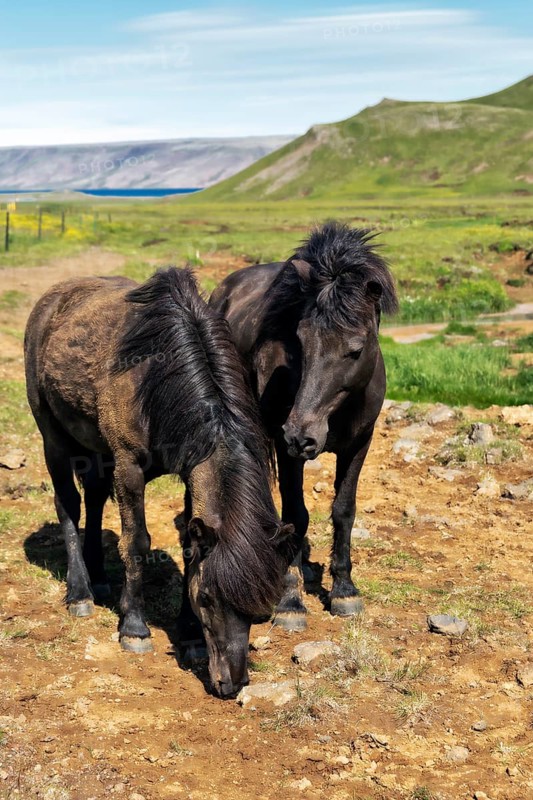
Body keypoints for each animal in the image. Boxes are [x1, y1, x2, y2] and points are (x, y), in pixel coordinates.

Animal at [24, 267, 295, 698]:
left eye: (261, 608)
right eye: (207, 598)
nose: (231, 683)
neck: (158, 377)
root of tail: (53, 298)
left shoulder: (188, 473)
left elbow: (188, 543)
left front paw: (190, 636)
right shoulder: (128, 466)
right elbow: (136, 542)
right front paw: (135, 629)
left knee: (95, 499)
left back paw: (99, 579)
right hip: (53, 438)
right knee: (68, 504)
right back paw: (80, 593)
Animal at [210, 222, 398, 631]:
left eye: (356, 349)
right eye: (300, 340)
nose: (302, 433)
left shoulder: (360, 444)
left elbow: (344, 510)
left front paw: (345, 591)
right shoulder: (286, 450)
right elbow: (296, 514)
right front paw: (291, 602)